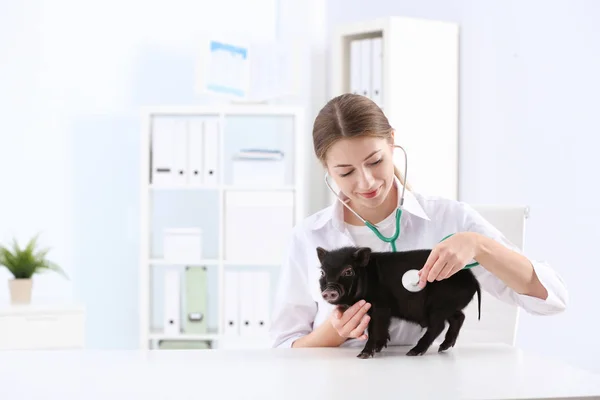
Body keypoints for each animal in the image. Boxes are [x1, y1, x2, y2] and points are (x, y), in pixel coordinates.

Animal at [316, 245, 480, 358]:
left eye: (348, 271)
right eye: (322, 272)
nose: (329, 290)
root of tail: (473, 280)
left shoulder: (380, 306)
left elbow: (374, 329)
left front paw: (363, 355)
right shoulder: (386, 311)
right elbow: (383, 327)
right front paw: (379, 348)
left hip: (438, 306)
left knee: (438, 326)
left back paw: (413, 353)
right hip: (449, 307)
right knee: (459, 317)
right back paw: (443, 348)